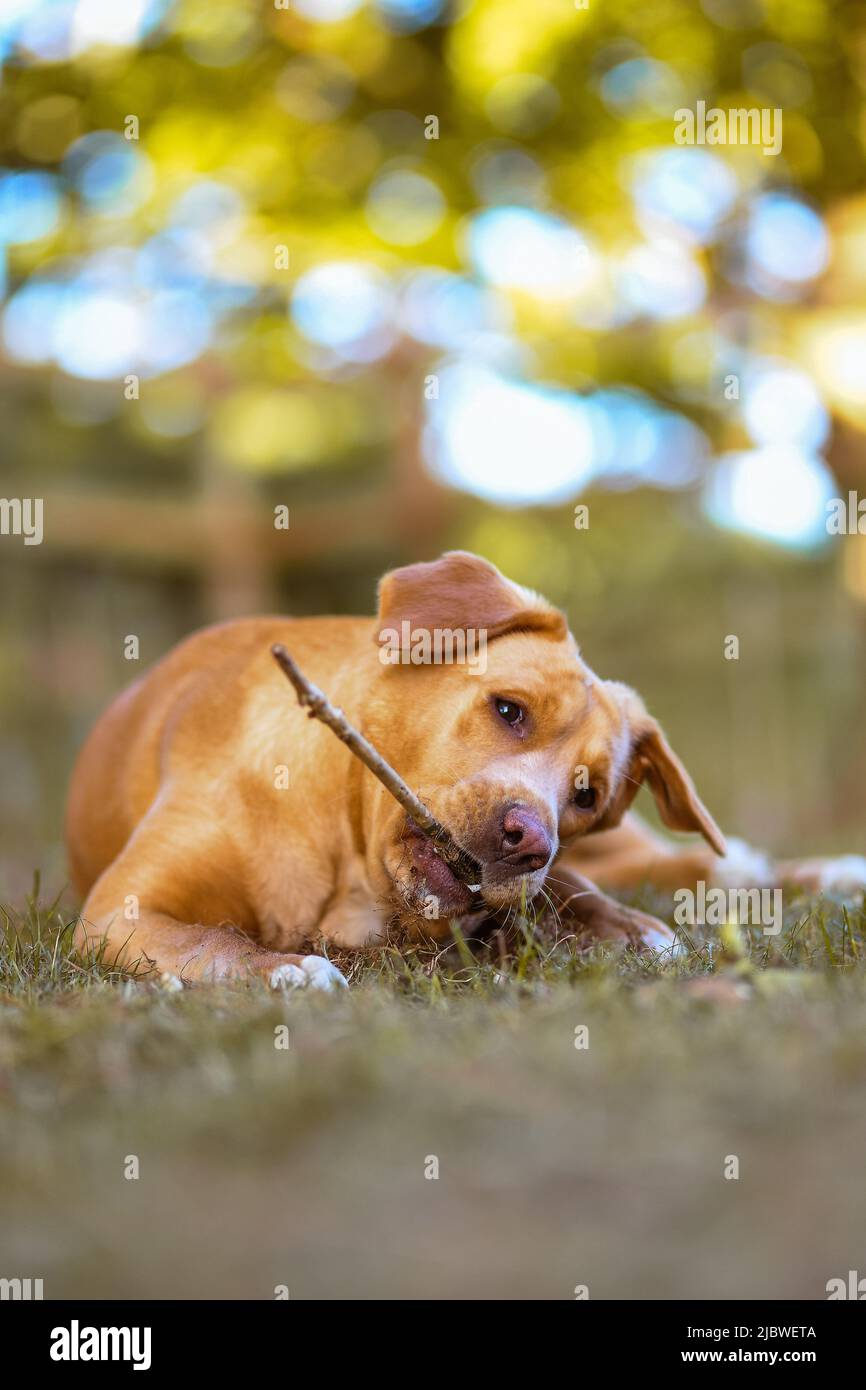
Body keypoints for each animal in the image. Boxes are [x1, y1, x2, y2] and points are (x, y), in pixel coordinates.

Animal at [64, 547, 861, 984]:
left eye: (586, 794)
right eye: (509, 710)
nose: (530, 840)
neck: (347, 852)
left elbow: (570, 892)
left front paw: (629, 929)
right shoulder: (123, 909)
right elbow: (210, 938)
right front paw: (282, 971)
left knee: (695, 865)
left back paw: (820, 872)